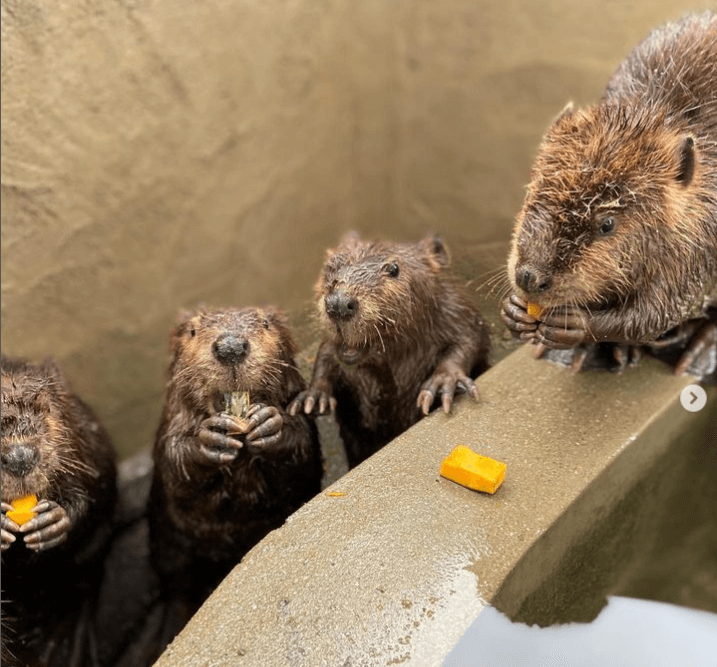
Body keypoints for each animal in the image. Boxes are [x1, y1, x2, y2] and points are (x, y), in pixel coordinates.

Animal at [148, 306, 322, 636]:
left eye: (266, 323)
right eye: (192, 330)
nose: (230, 347)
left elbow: (303, 446)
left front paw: (267, 424)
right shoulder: (171, 420)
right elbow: (173, 459)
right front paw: (213, 435)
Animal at [288, 232, 490, 468]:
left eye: (394, 269)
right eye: (330, 265)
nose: (338, 304)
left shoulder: (455, 310)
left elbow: (471, 337)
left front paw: (442, 384)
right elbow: (327, 353)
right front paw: (312, 398)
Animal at [500, 11, 716, 376]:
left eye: (607, 224)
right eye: (532, 194)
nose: (528, 277)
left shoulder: (699, 244)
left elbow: (659, 310)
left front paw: (577, 326)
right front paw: (514, 310)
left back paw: (698, 353)